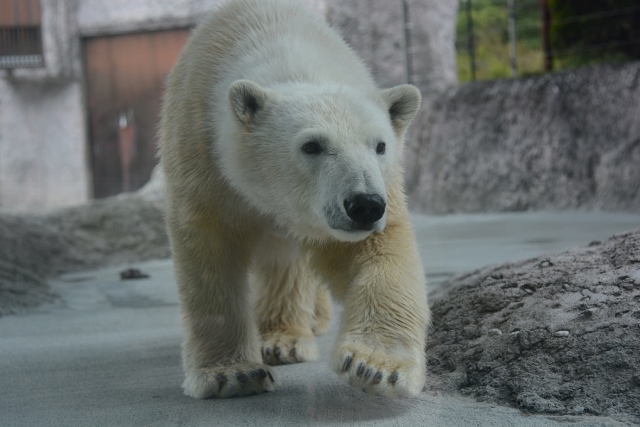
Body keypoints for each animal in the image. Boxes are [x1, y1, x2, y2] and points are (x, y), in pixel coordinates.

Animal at [159, 0, 430, 400]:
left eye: (380, 145)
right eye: (312, 145)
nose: (364, 204)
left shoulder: (379, 189)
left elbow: (377, 250)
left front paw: (375, 366)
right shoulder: (201, 151)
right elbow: (211, 254)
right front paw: (232, 374)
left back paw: (289, 336)